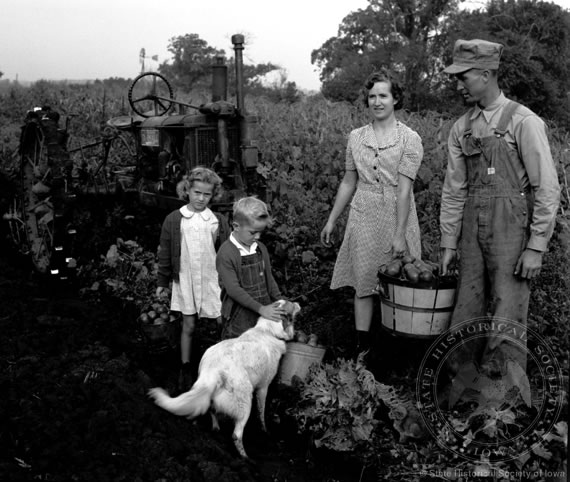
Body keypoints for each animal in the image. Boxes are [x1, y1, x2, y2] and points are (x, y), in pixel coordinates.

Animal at [146, 300, 300, 458]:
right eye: (290, 304)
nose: (297, 303)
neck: (268, 330)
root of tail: (212, 371)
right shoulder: (263, 387)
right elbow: (261, 413)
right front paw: (264, 431)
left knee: (212, 410)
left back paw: (216, 428)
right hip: (245, 402)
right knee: (236, 435)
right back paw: (245, 458)